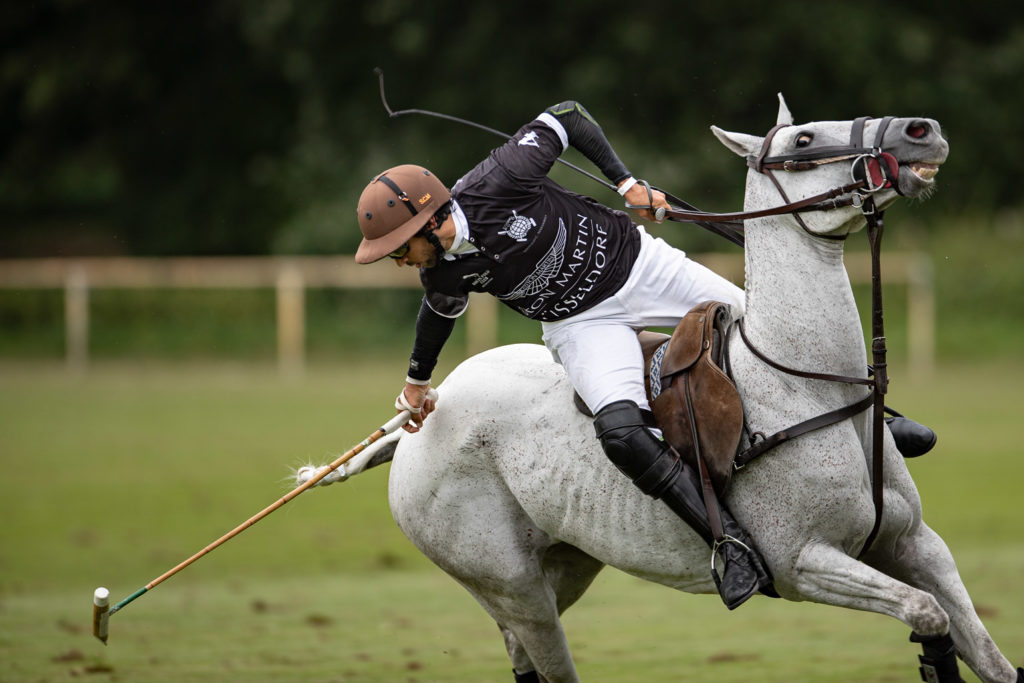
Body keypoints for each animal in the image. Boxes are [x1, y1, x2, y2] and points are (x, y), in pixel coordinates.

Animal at [356, 98, 1019, 679]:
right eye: (803, 140)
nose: (920, 130)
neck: (809, 389)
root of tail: (414, 431)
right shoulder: (804, 562)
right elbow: (926, 614)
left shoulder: (916, 544)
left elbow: (987, 656)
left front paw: (639, 196)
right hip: (511, 585)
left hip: (565, 563)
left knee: (519, 651)